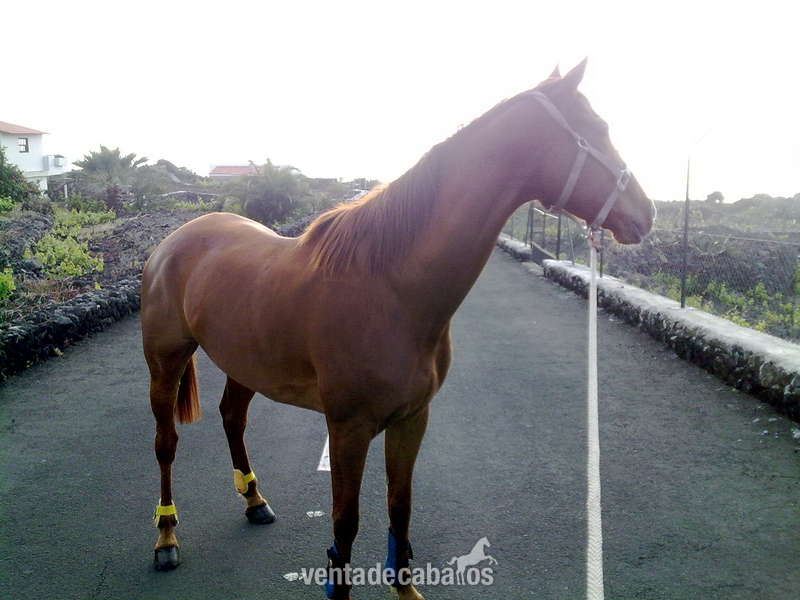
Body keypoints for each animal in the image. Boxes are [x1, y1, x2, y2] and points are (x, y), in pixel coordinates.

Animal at [141, 59, 654, 600]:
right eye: (598, 128)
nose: (647, 213)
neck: (390, 287)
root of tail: (173, 240)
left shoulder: (412, 419)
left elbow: (399, 505)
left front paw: (405, 588)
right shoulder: (348, 429)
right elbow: (345, 524)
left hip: (246, 364)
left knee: (232, 419)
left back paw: (254, 501)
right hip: (165, 365)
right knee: (165, 444)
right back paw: (166, 537)